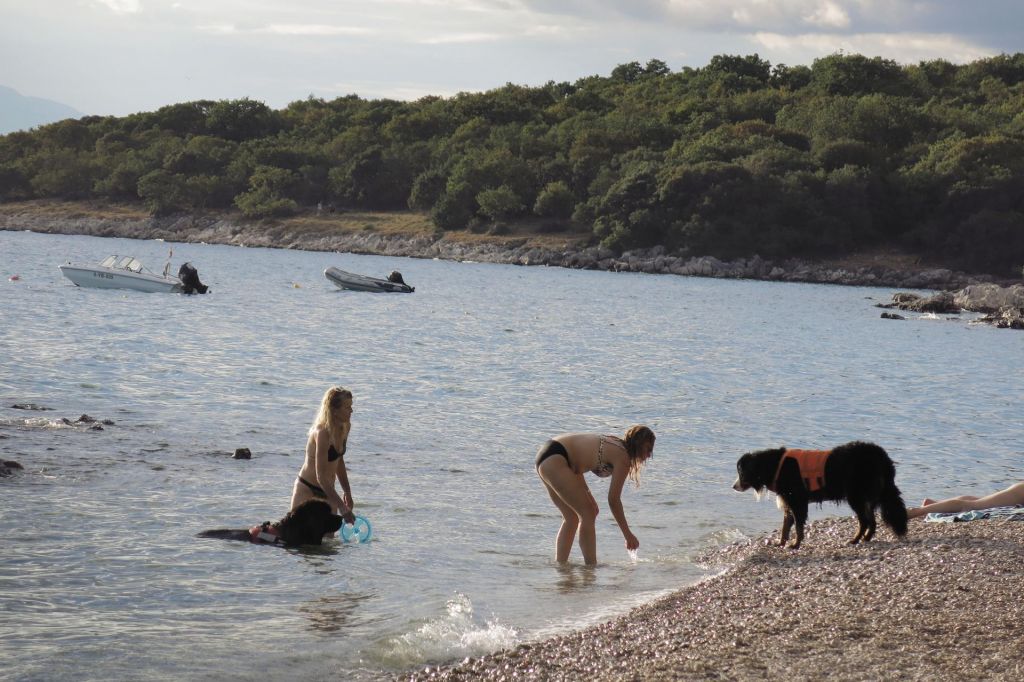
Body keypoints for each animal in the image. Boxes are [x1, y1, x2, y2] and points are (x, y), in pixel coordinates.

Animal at [733, 440, 909, 548]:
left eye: (741, 472)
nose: (734, 486)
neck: (775, 465)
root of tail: (880, 455)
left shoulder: (797, 501)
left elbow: (798, 527)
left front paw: (795, 545)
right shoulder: (789, 503)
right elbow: (785, 527)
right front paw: (781, 544)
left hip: (856, 497)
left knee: (864, 521)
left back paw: (855, 540)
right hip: (867, 497)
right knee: (871, 522)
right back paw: (866, 538)